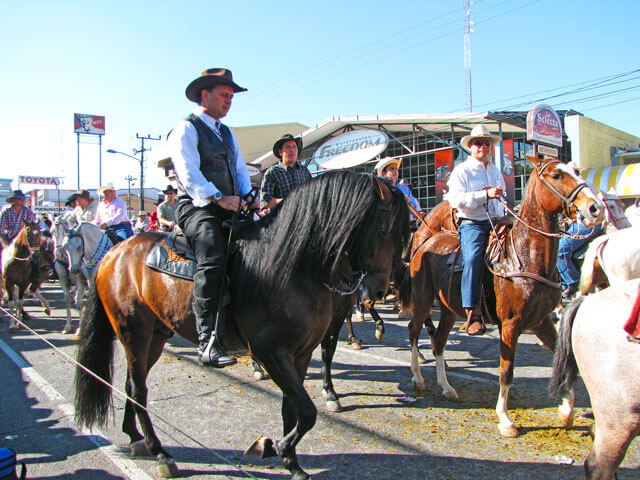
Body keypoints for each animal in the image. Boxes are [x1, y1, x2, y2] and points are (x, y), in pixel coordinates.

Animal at [72, 171, 408, 478]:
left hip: (156, 334)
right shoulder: (271, 353)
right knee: (139, 388)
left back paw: (135, 438)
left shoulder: (299, 354)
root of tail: (113, 253)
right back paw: (161, 454)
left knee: (133, 383)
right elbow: (307, 412)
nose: (379, 292)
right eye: (382, 228)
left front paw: (287, 458)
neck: (290, 267)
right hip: (133, 332)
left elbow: (292, 409)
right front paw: (277, 448)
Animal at [400, 158, 604, 438]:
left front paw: (566, 411)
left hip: (449, 309)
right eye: (556, 175)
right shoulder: (510, 325)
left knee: (439, 340)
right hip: (422, 302)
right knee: (413, 330)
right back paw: (418, 377)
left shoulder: (541, 322)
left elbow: (564, 362)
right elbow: (506, 371)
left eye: (576, 171)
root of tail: (426, 242)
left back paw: (446, 386)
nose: (595, 208)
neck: (525, 256)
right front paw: (506, 420)